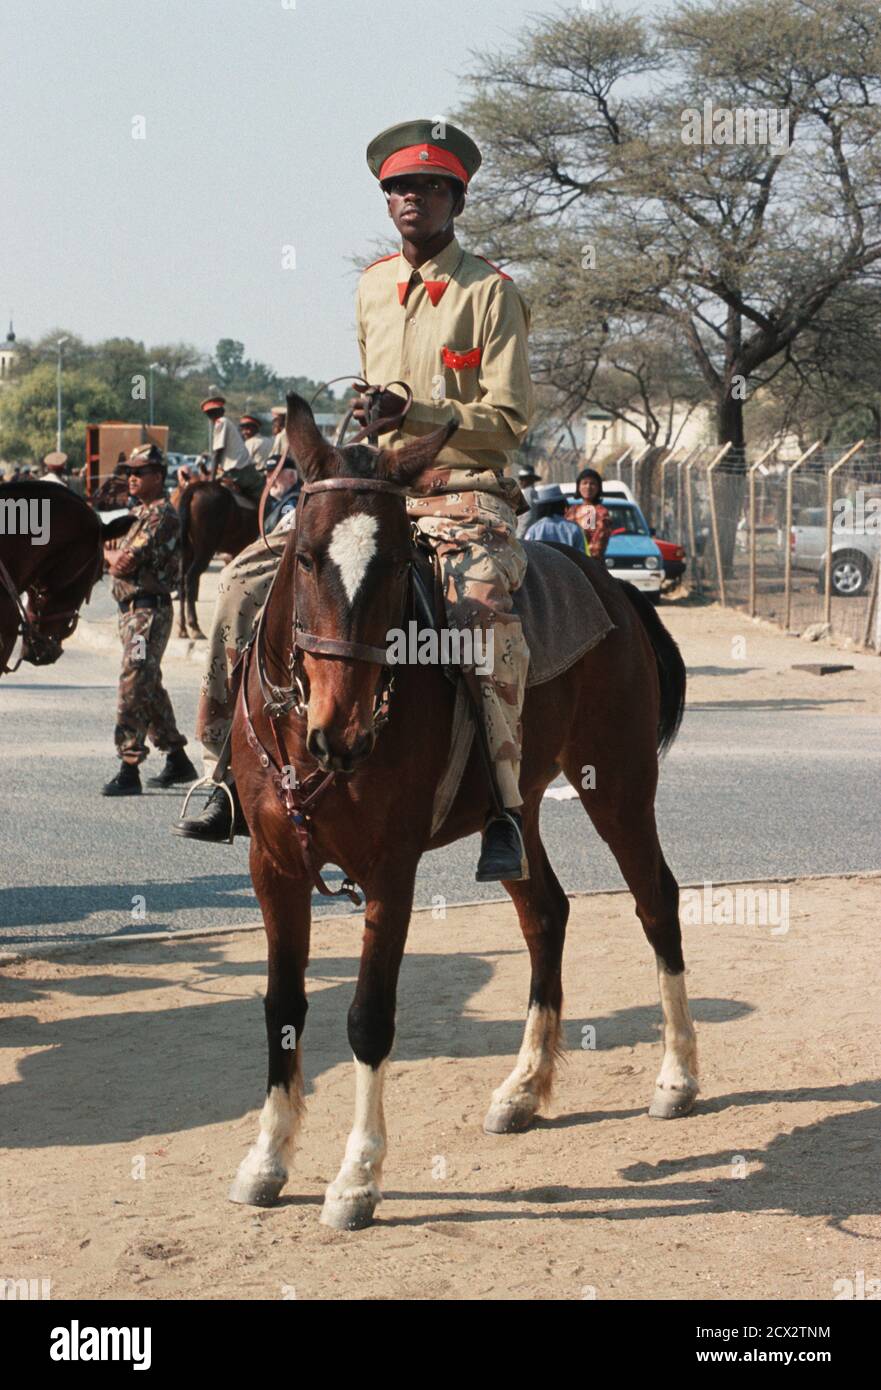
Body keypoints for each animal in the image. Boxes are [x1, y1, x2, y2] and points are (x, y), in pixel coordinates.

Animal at [175, 480, 257, 642]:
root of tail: (196, 487)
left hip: (187, 550)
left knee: (181, 580)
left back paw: (182, 628)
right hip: (205, 549)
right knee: (190, 577)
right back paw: (195, 627)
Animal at [227, 397, 700, 1234]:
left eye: (392, 565)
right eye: (307, 558)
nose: (341, 731)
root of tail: (609, 585)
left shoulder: (389, 872)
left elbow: (368, 1018)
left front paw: (356, 1178)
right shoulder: (272, 866)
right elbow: (282, 1004)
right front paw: (268, 1158)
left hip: (617, 785)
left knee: (656, 902)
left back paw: (675, 1078)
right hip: (514, 811)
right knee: (545, 912)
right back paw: (523, 1087)